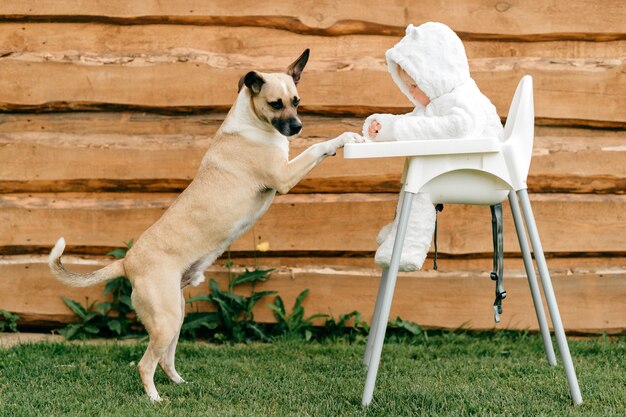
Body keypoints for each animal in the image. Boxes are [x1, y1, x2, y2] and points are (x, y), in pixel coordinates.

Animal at [48, 48, 364, 400]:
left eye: (296, 100)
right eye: (275, 104)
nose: (296, 127)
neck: (252, 123)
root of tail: (127, 262)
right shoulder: (284, 176)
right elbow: (316, 148)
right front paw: (341, 138)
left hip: (176, 316)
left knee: (165, 360)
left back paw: (180, 384)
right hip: (166, 320)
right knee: (145, 364)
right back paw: (155, 399)